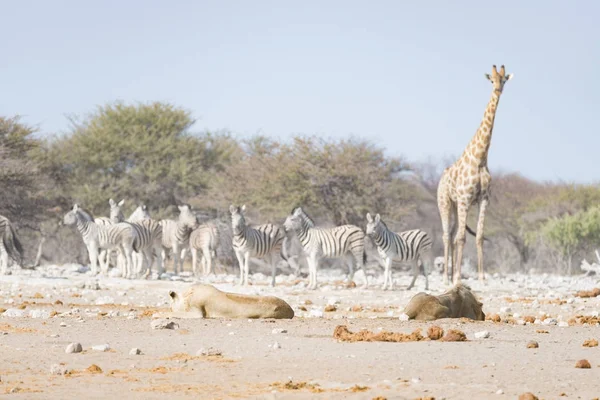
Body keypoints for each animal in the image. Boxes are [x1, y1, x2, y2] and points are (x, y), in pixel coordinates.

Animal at [436, 65, 510, 284]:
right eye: (492, 80)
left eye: (504, 79)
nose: (498, 90)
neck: (480, 159)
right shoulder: (465, 198)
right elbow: (462, 237)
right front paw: (458, 277)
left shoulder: (484, 199)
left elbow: (478, 235)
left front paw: (482, 276)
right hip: (445, 203)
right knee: (447, 235)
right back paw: (447, 277)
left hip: (454, 205)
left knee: (452, 234)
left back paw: (452, 274)